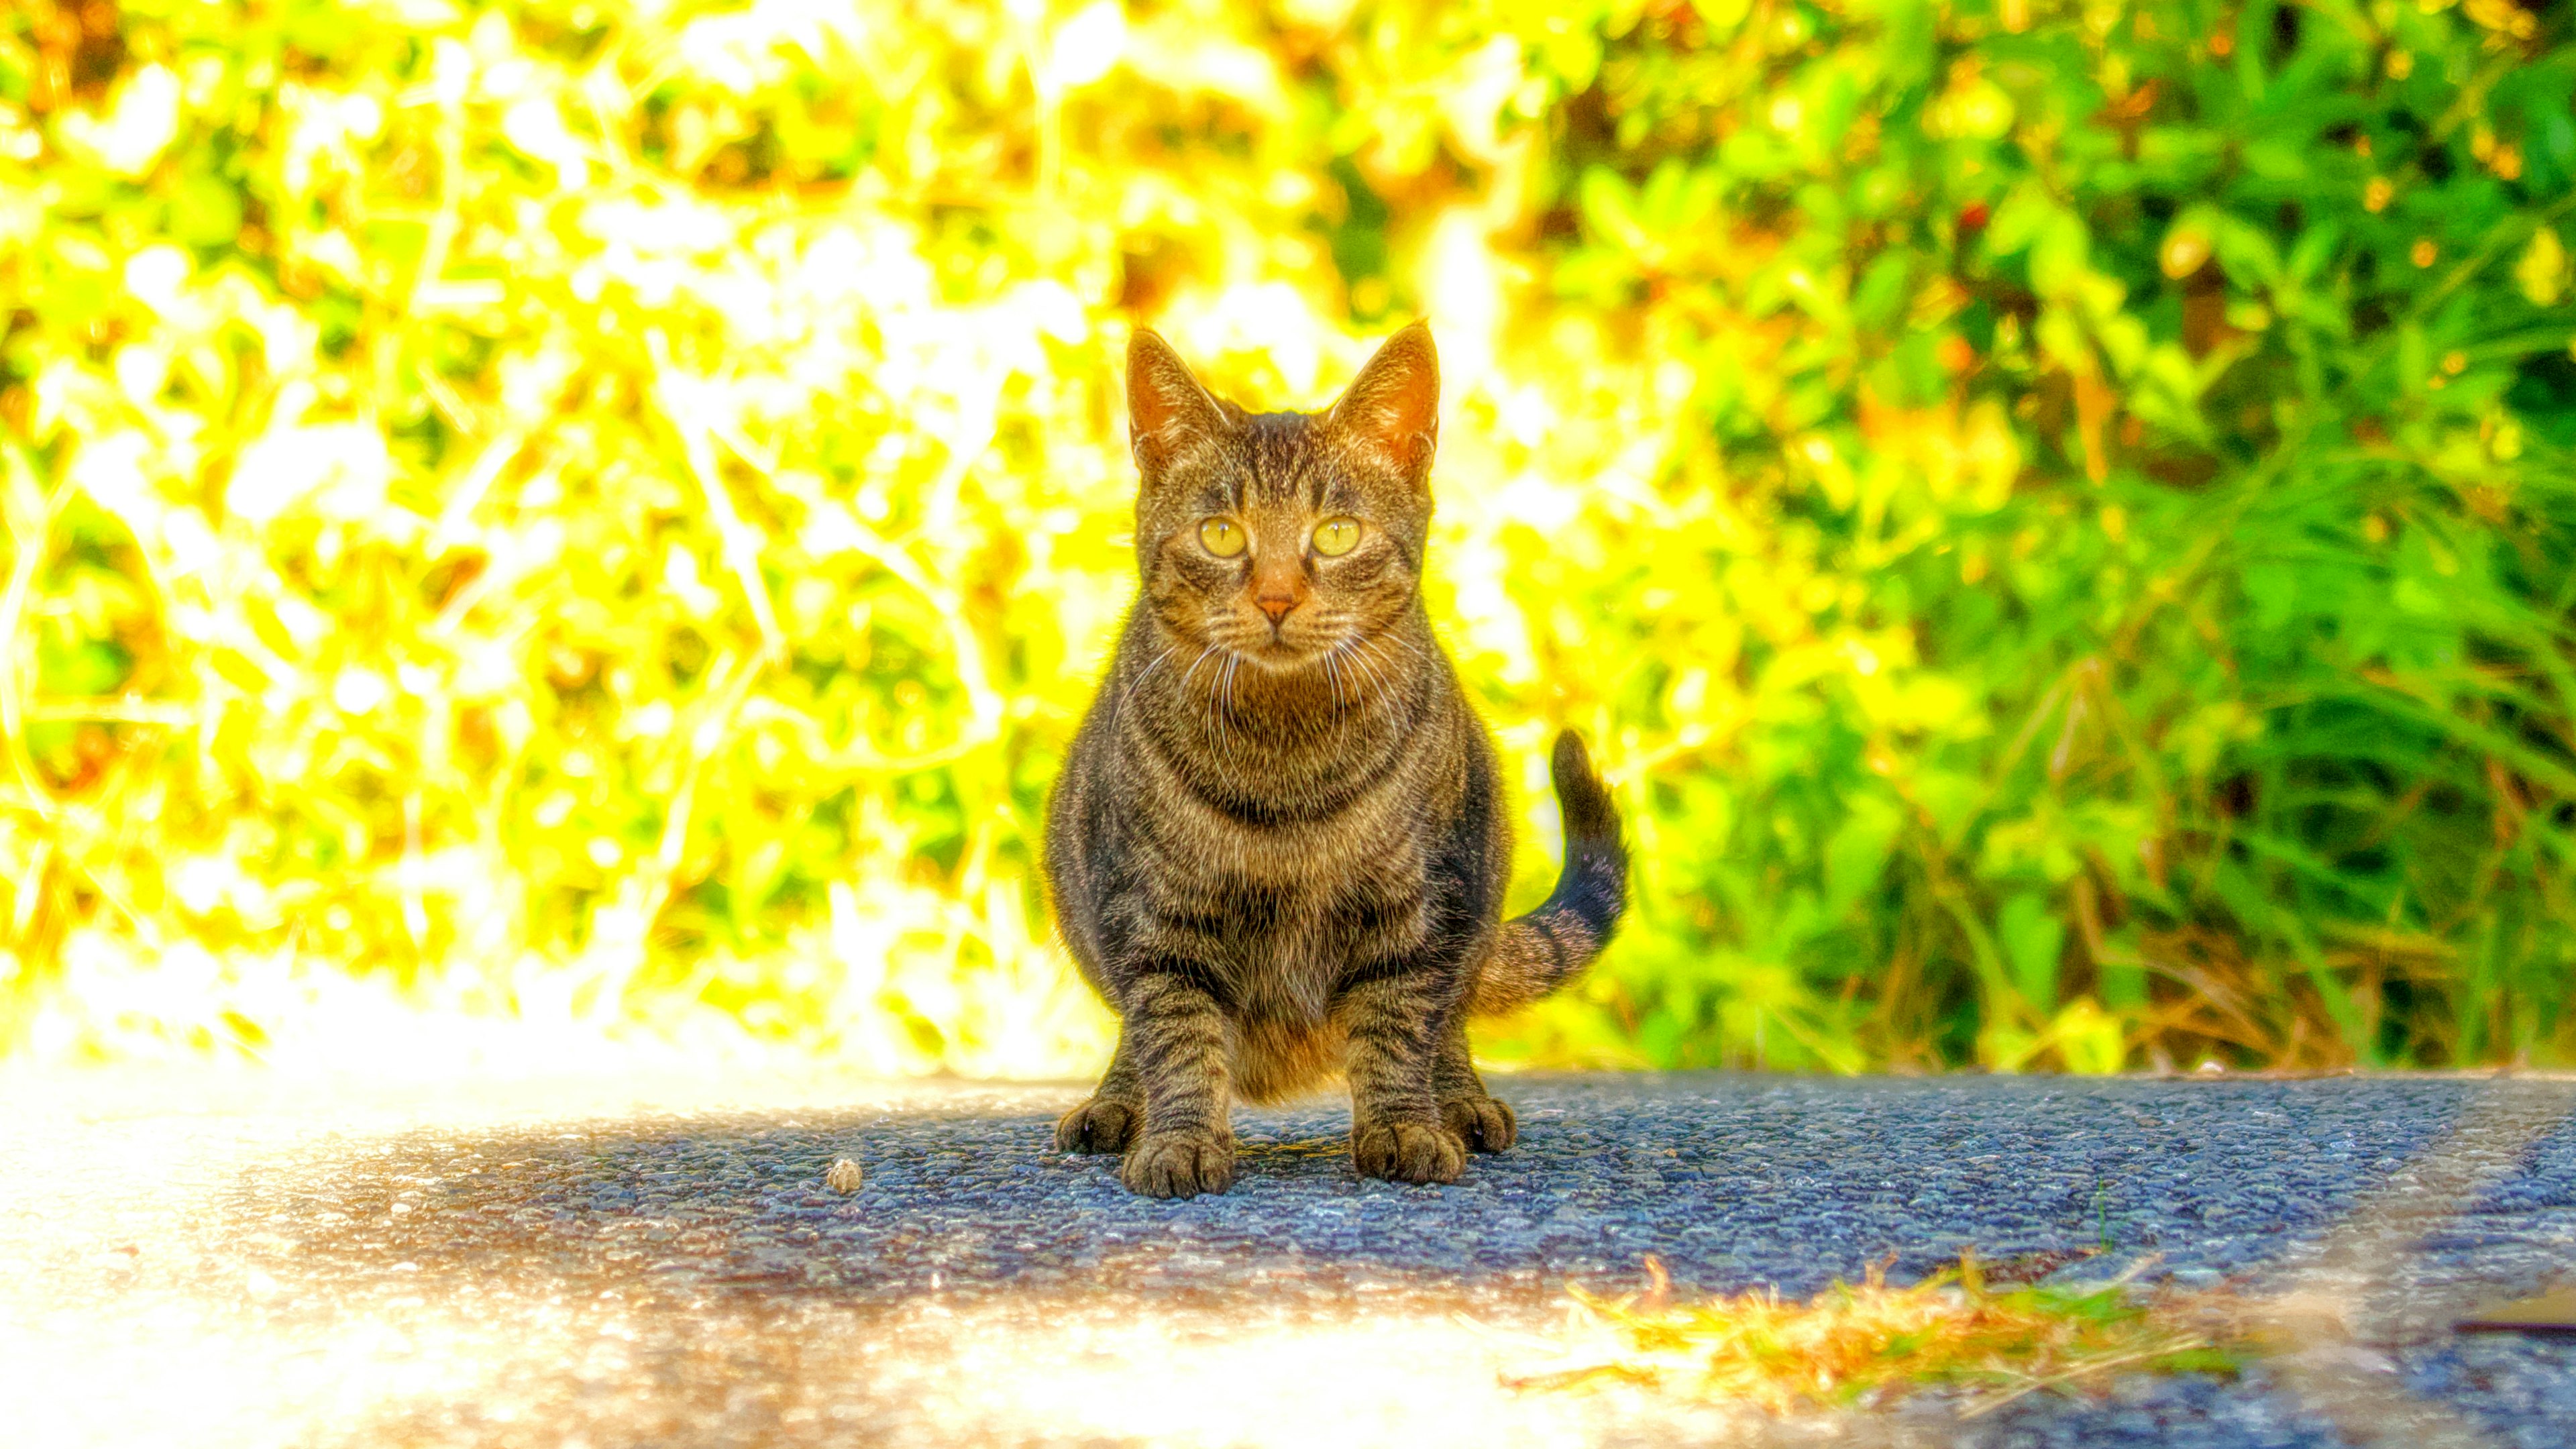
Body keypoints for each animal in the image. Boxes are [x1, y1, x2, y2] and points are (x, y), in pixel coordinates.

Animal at [1035, 327, 1617, 1196]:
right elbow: (1174, 1035)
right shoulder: (1152, 915)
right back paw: (1115, 1104)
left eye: (1336, 533)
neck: (1286, 763)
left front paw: (1404, 1127)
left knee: (1448, 1024)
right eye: (1222, 534)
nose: (1277, 599)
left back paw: (1461, 1103)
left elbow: (1399, 1025)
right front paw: (1180, 1140)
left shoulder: (1416, 908)